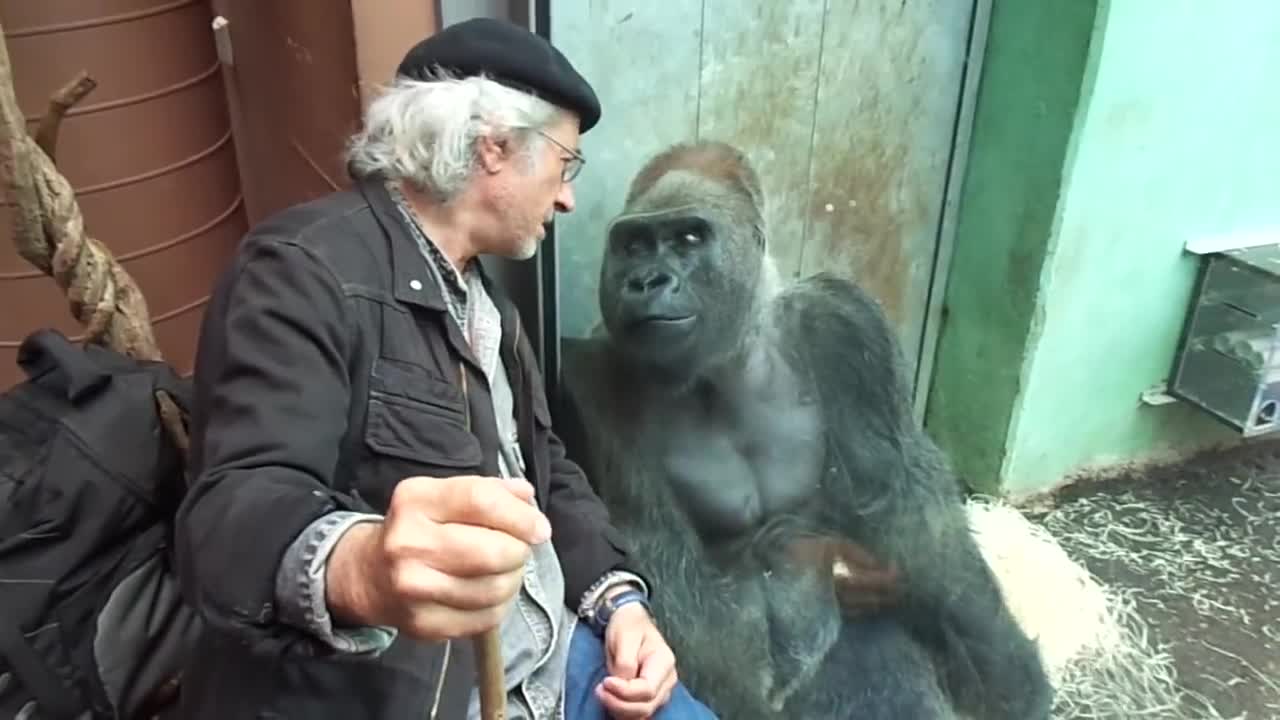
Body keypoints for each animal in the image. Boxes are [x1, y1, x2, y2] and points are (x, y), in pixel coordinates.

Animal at [558, 140, 1049, 717]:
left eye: (688, 239)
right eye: (634, 246)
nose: (646, 281)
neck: (726, 363)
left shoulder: (844, 325)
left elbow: (905, 502)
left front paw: (1005, 672)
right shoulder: (593, 378)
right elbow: (658, 552)